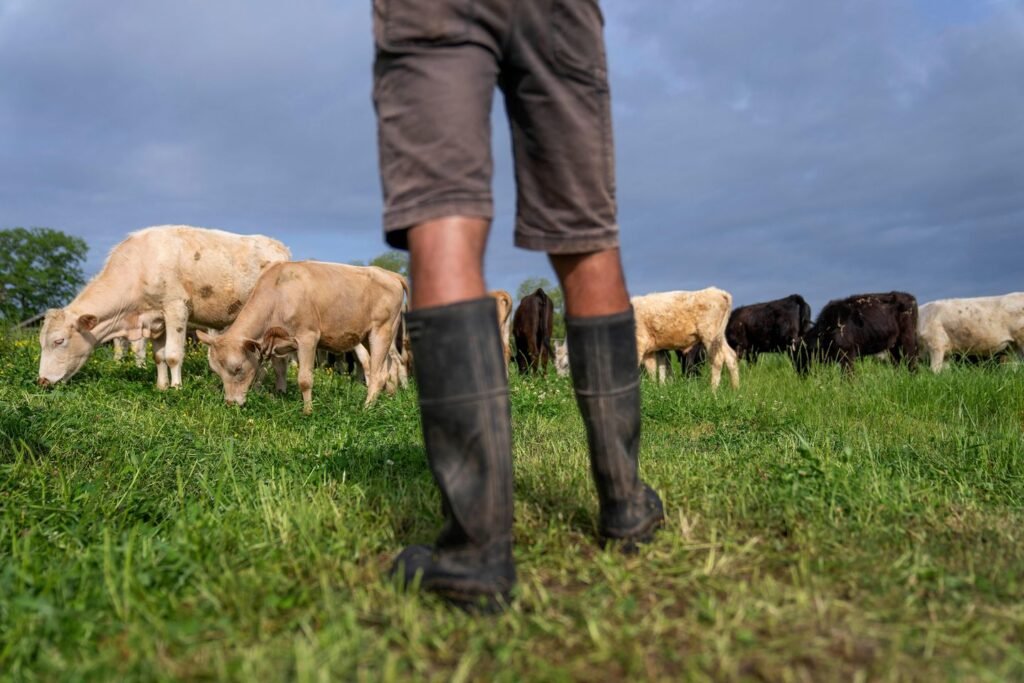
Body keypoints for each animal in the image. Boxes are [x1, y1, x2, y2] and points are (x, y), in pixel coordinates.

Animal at [38, 225, 290, 389]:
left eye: (58, 341)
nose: (42, 381)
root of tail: (280, 247)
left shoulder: (176, 308)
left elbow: (173, 355)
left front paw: (177, 388)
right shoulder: (155, 319)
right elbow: (158, 356)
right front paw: (161, 386)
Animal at [197, 261, 407, 413]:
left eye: (237, 368)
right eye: (217, 371)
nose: (231, 403)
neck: (278, 294)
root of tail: (390, 274)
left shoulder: (308, 337)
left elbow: (304, 379)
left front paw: (307, 411)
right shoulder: (278, 344)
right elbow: (279, 370)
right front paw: (280, 395)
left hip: (381, 331)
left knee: (378, 374)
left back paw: (367, 408)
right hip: (370, 337)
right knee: (389, 368)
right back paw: (390, 399)